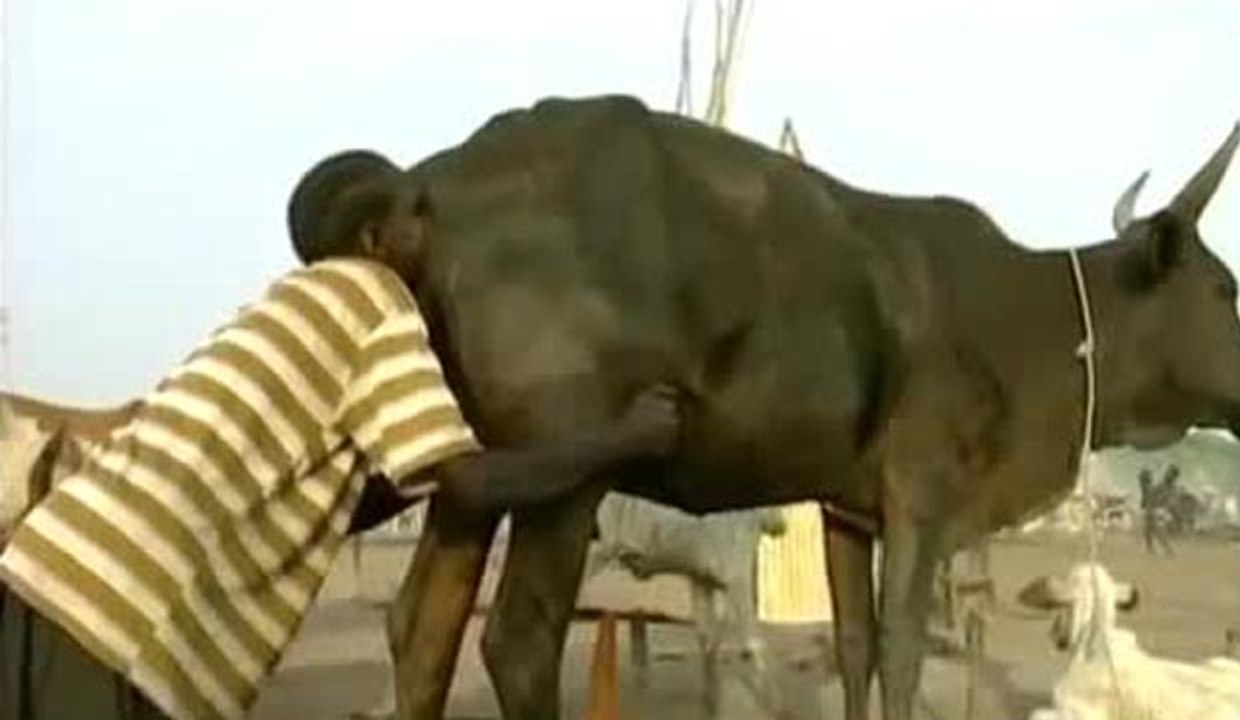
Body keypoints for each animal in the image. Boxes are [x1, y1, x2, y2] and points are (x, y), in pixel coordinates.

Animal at [295, 94, 1240, 720]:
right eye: (1225, 287)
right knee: (518, 642)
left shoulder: (848, 510)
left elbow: (856, 645)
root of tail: (424, 190)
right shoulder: (924, 495)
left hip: (468, 470)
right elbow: (900, 647)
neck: (1034, 321)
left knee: (422, 630)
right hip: (563, 477)